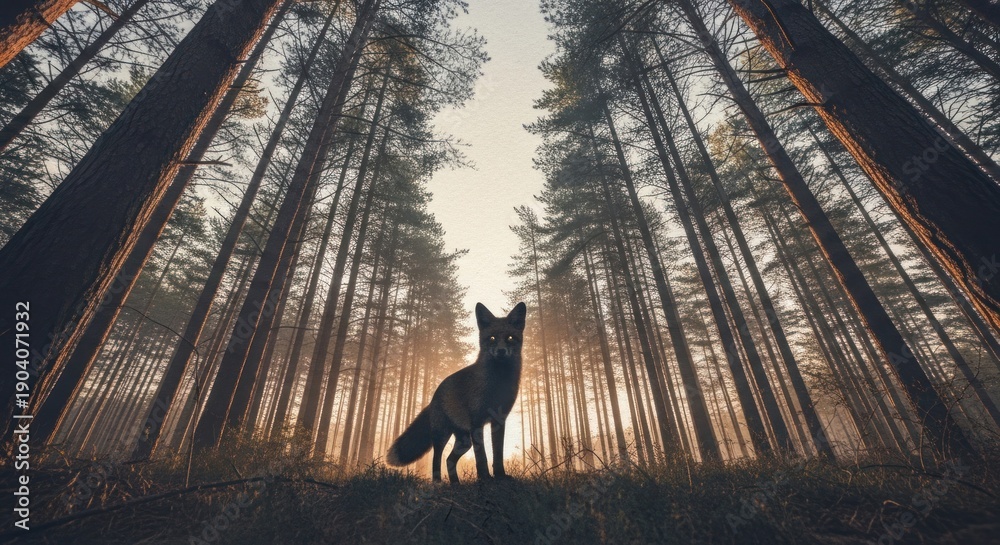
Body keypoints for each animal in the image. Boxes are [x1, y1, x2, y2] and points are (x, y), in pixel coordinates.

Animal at [386, 301, 527, 483]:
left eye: (510, 338)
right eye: (492, 338)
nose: (501, 351)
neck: (497, 383)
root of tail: (433, 398)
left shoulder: (499, 420)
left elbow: (498, 454)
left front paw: (500, 476)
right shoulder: (476, 422)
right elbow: (481, 456)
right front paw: (485, 479)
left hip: (464, 441)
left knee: (449, 460)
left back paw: (456, 484)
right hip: (442, 436)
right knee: (437, 458)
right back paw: (438, 483)